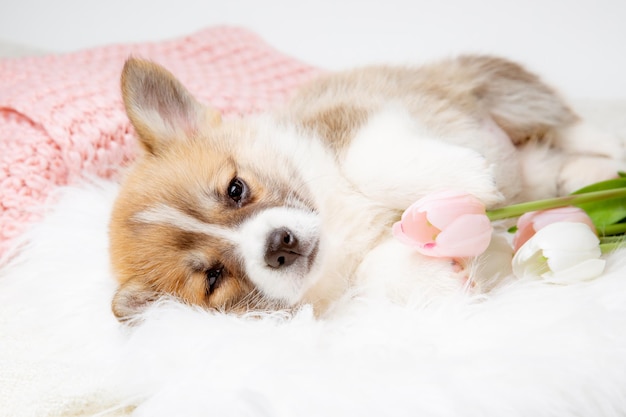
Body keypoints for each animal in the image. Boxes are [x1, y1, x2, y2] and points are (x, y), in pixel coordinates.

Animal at [109, 55, 620, 320]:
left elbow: (364, 161)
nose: (279, 244)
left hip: (500, 88)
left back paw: (613, 152)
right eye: (213, 279)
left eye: (235, 190)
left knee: (569, 124)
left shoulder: (352, 116)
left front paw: (471, 176)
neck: (334, 218)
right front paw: (444, 279)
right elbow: (381, 268)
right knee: (556, 161)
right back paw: (586, 180)